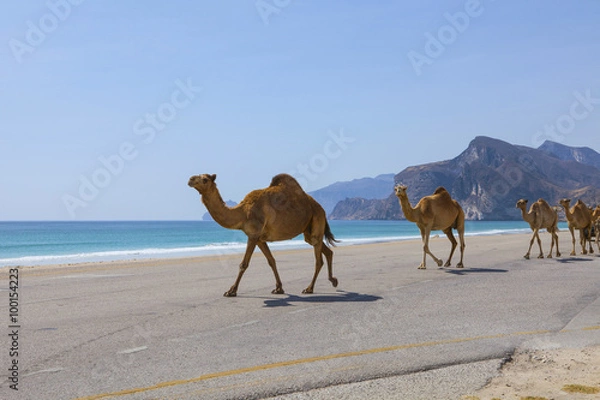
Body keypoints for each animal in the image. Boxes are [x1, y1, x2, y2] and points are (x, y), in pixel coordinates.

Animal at [188, 173, 338, 296]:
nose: (190, 179)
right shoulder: (260, 239)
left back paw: (309, 288)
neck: (243, 212)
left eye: (205, 179)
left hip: (317, 219)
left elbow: (244, 264)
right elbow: (271, 261)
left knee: (318, 260)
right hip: (308, 230)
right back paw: (333, 280)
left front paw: (231, 291)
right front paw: (279, 288)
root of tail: (322, 209)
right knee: (326, 250)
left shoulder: (253, 235)